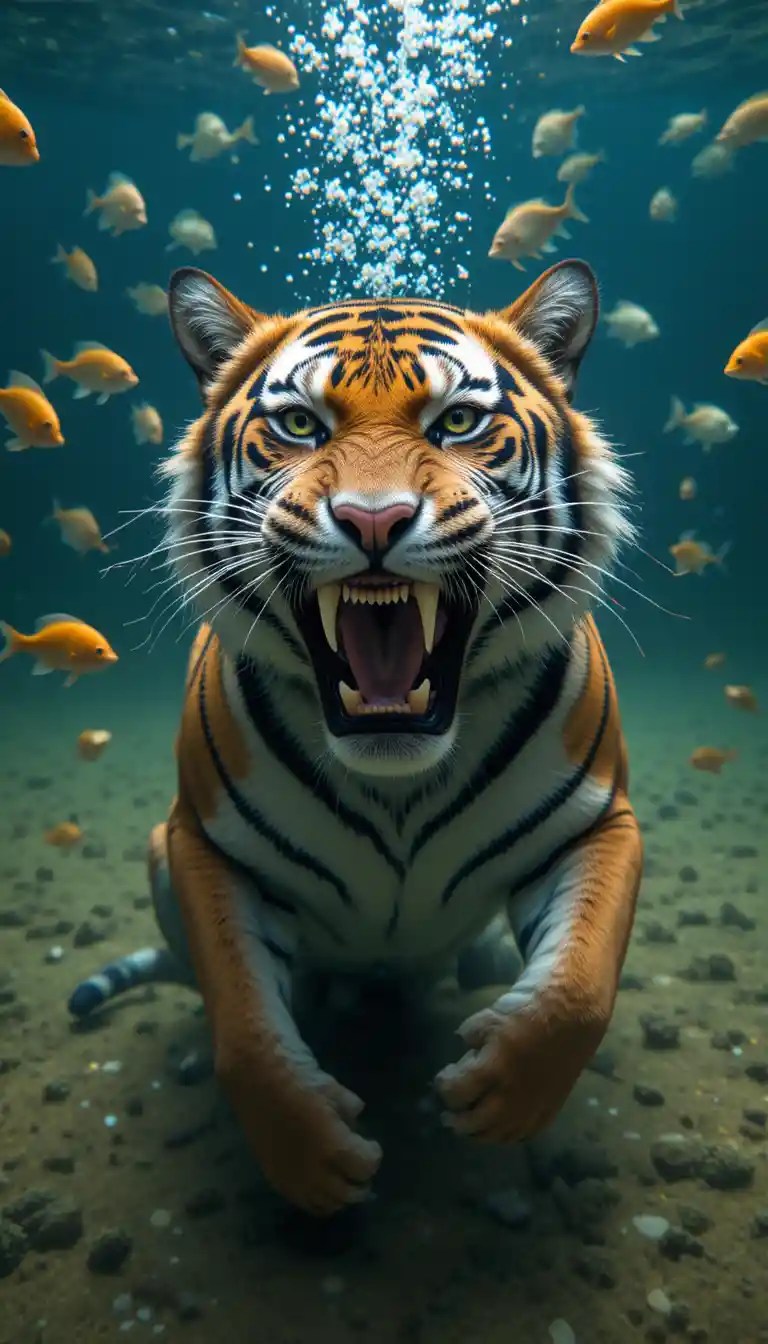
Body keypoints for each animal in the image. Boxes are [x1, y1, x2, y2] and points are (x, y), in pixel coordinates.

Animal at [69, 258, 643, 1218]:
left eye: (458, 422)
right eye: (300, 424)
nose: (374, 520)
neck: (396, 776)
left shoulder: (602, 821)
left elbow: (577, 986)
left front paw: (499, 1094)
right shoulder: (201, 843)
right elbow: (243, 1023)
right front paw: (313, 1162)